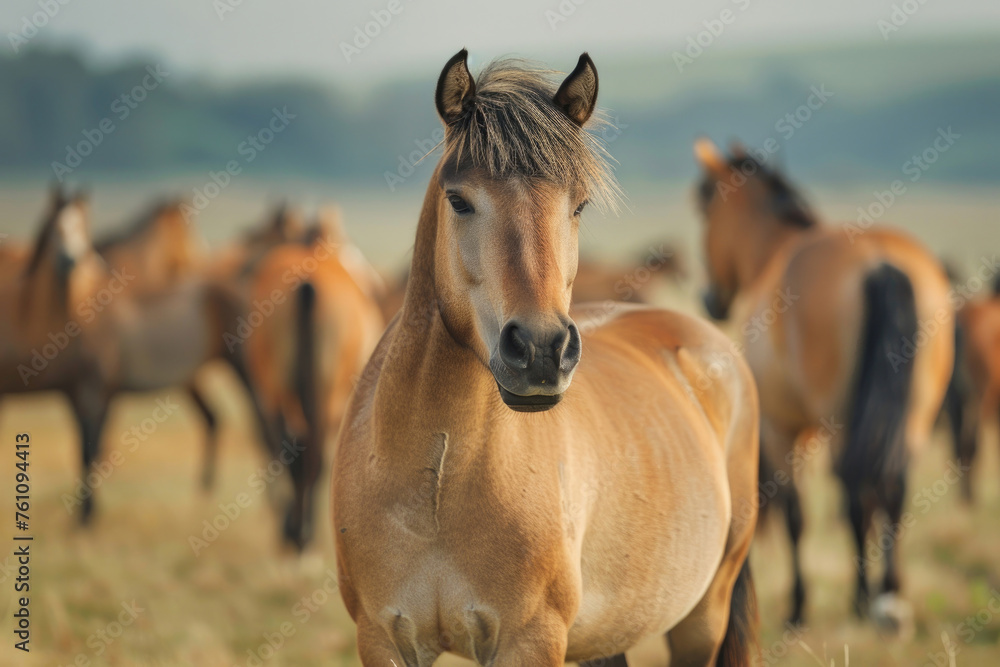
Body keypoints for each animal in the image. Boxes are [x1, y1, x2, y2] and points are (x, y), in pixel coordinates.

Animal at [334, 52, 756, 667]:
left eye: (578, 205)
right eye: (459, 199)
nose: (541, 350)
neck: (437, 484)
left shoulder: (530, 641)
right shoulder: (383, 639)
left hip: (703, 617)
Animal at [692, 140, 956, 632]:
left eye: (703, 207)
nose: (710, 298)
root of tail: (878, 258)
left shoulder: (782, 429)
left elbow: (796, 513)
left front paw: (798, 606)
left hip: (840, 421)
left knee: (856, 491)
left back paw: (864, 599)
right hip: (913, 415)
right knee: (891, 489)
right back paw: (891, 596)